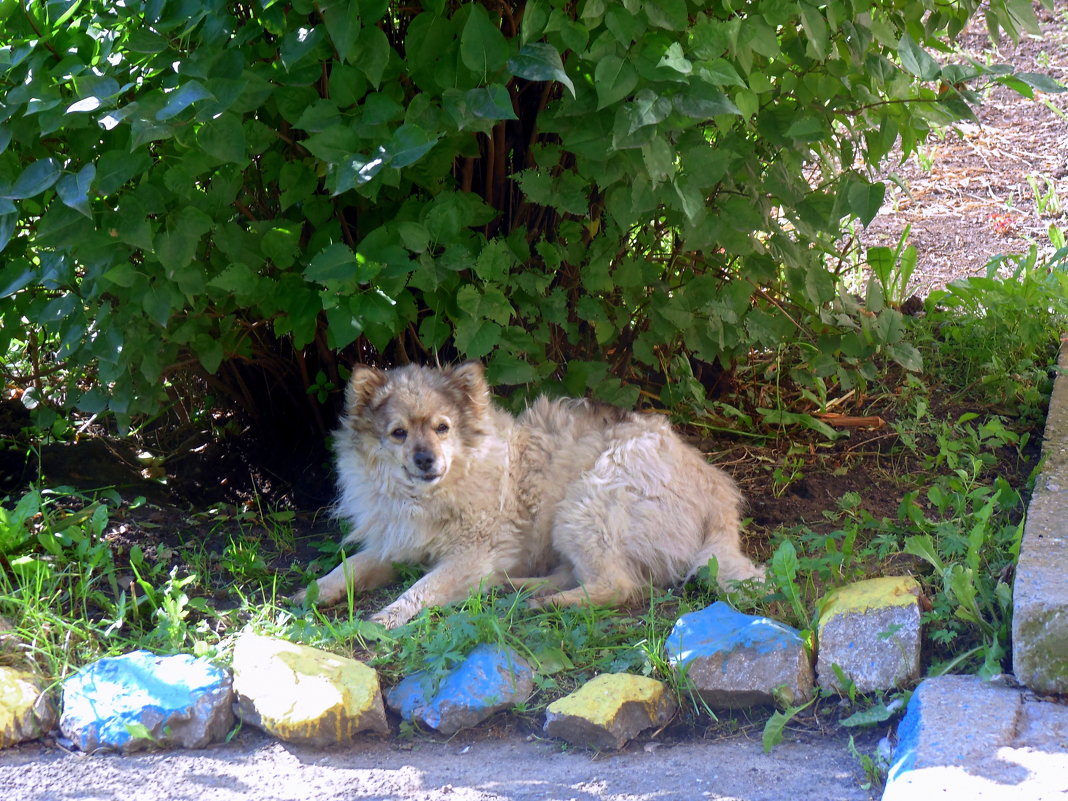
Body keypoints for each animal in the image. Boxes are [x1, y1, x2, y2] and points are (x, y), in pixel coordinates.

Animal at [299, 360, 768, 632]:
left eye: (442, 427)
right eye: (398, 433)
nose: (425, 460)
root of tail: (718, 494)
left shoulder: (473, 553)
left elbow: (422, 587)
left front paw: (391, 614)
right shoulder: (396, 544)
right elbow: (348, 568)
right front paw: (311, 593)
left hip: (583, 504)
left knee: (617, 586)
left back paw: (547, 603)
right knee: (580, 575)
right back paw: (517, 588)